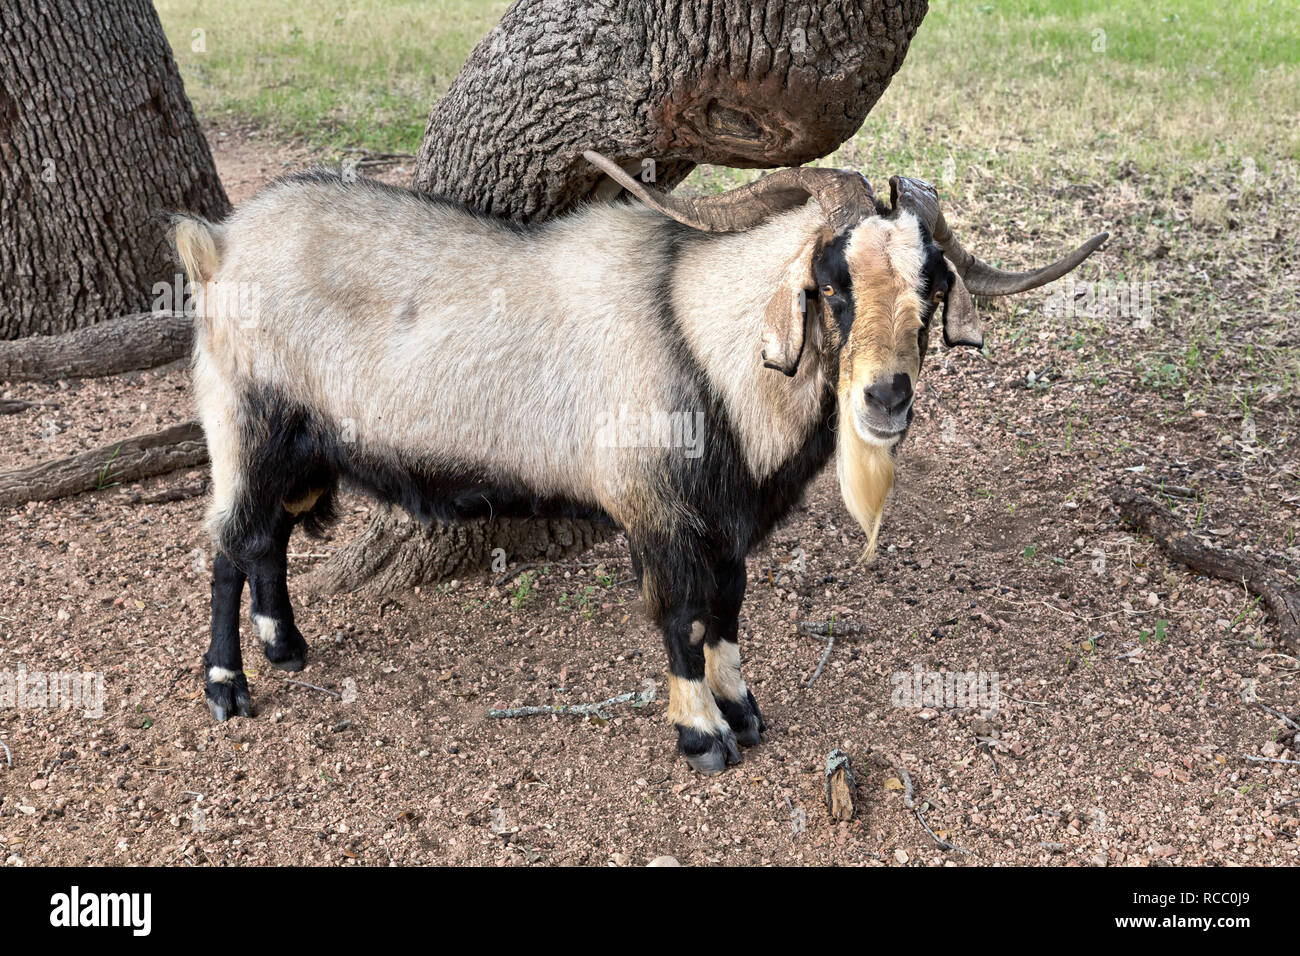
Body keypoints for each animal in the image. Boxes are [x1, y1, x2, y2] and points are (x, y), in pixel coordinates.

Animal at [172, 153, 1107, 775]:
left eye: (933, 284)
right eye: (833, 283)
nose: (885, 398)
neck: (700, 342)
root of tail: (216, 244)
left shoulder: (727, 522)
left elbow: (727, 605)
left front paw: (744, 709)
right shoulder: (654, 510)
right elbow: (678, 612)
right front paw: (702, 735)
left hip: (297, 448)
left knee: (266, 541)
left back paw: (286, 645)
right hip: (248, 423)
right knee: (227, 542)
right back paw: (228, 685)